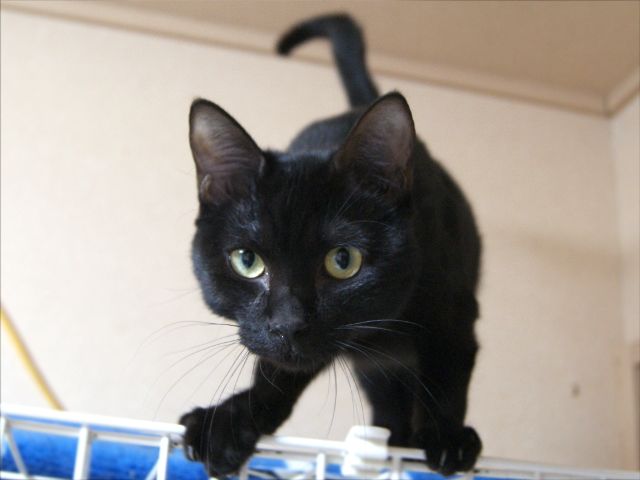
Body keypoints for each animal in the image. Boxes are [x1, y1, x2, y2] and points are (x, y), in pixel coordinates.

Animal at [180, 13, 482, 477]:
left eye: (344, 260)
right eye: (247, 260)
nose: (287, 324)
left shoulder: (453, 309)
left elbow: (447, 371)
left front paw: (447, 436)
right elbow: (277, 374)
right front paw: (230, 421)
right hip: (375, 372)